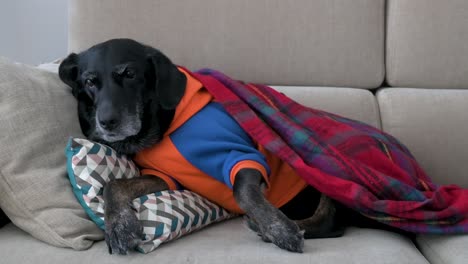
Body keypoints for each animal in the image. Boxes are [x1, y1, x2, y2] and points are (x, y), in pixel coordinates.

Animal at [60, 38, 392, 255]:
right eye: (90, 82)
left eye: (129, 74)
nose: (106, 123)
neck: (165, 126)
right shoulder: (164, 176)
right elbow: (114, 184)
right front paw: (119, 225)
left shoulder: (243, 155)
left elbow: (243, 191)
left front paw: (278, 228)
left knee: (331, 223)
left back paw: (273, 228)